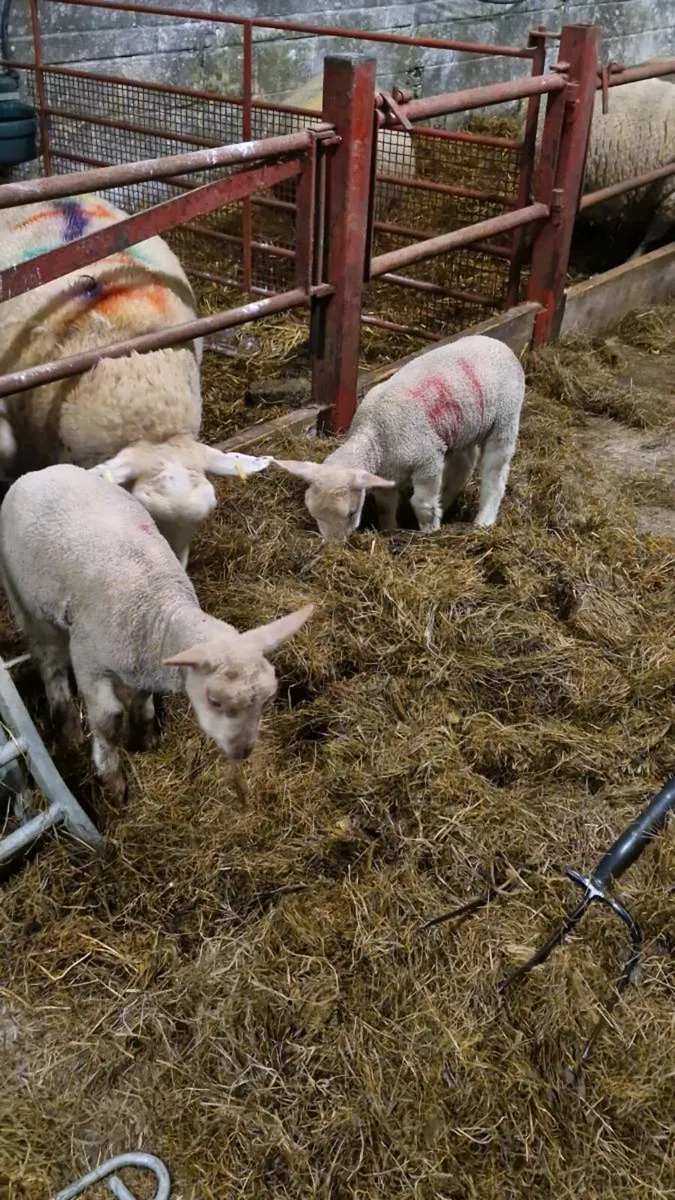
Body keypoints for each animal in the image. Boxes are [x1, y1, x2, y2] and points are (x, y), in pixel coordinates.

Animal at [0, 464, 313, 799]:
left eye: (268, 698)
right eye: (214, 700)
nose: (242, 752)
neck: (158, 609)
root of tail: (41, 471)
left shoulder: (142, 658)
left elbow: (142, 699)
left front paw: (144, 737)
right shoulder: (88, 661)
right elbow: (108, 719)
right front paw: (112, 779)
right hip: (28, 604)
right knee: (50, 662)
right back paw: (69, 727)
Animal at [274, 334, 525, 541]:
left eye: (352, 513)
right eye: (313, 512)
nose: (333, 547)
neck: (373, 435)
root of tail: (500, 344)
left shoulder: (428, 459)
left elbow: (422, 503)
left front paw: (430, 530)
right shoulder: (386, 473)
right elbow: (386, 505)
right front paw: (389, 531)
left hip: (506, 418)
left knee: (495, 475)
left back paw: (484, 520)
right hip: (463, 428)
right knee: (464, 464)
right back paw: (446, 502)